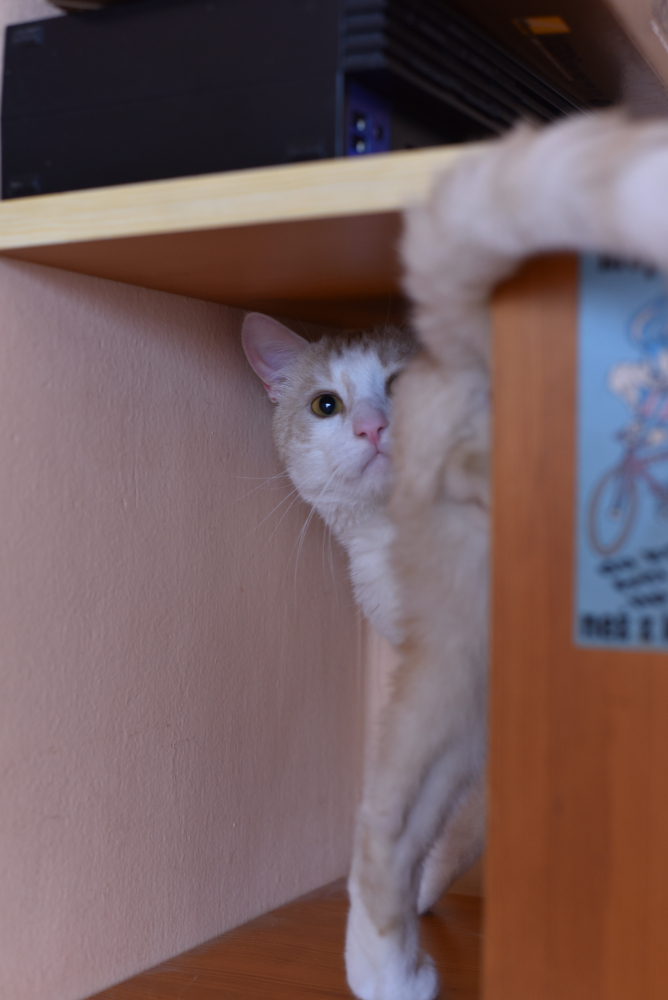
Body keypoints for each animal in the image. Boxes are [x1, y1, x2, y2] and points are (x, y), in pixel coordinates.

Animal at [342, 109, 668, 1000]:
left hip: (465, 686)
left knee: (405, 820)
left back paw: (392, 958)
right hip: (460, 661)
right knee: (383, 818)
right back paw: (391, 969)